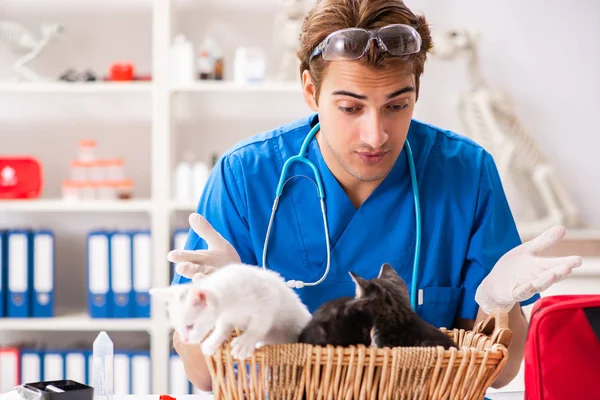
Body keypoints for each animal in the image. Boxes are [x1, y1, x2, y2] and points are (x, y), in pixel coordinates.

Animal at [150, 262, 312, 360]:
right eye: (177, 327)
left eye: (190, 326)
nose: (185, 340)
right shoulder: (225, 317)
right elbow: (223, 327)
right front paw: (214, 341)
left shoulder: (268, 299)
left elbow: (258, 325)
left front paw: (245, 342)